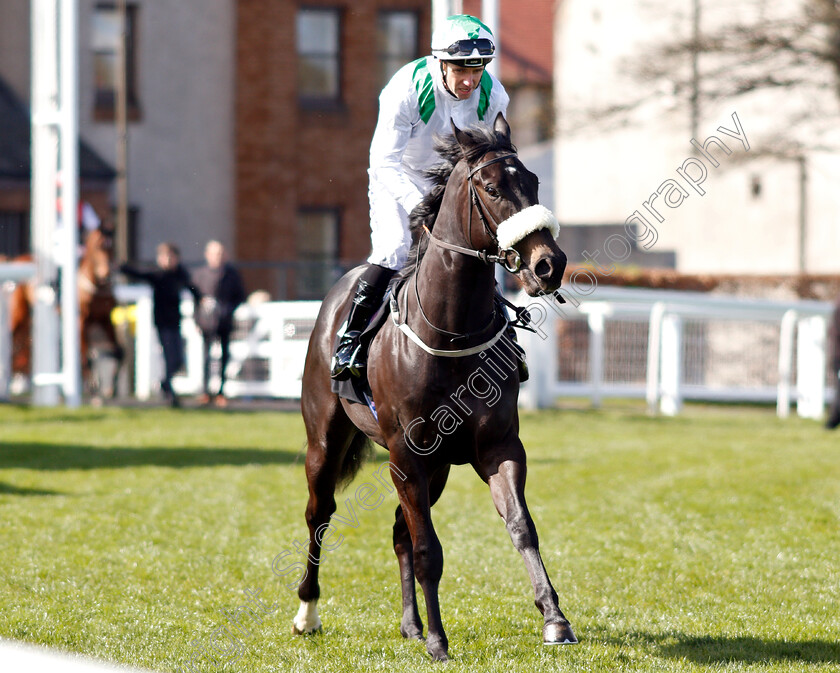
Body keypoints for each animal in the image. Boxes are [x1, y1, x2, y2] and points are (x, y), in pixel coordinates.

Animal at [296, 113, 576, 660]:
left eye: (533, 182)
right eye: (492, 188)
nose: (548, 265)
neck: (451, 330)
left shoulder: (498, 447)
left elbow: (521, 527)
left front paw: (554, 619)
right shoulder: (406, 457)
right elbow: (429, 548)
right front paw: (439, 640)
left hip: (440, 467)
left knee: (398, 532)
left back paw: (410, 623)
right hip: (325, 441)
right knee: (320, 514)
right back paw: (307, 613)